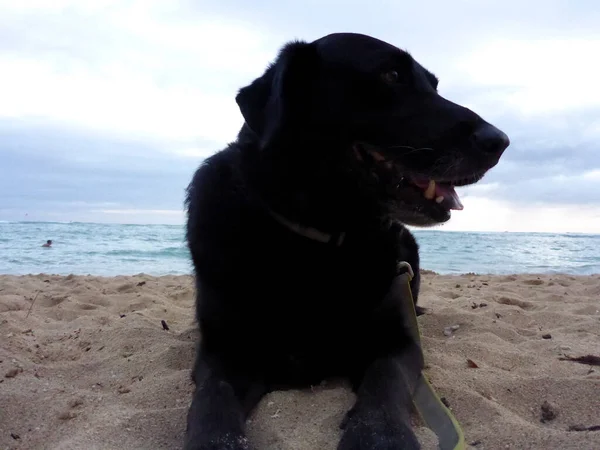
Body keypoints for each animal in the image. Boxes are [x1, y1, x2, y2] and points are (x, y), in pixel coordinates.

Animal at [182, 32, 506, 450]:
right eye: (391, 75)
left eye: (434, 86)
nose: (500, 141)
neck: (319, 242)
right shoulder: (226, 351)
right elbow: (212, 399)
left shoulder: (397, 343)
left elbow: (385, 380)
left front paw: (381, 436)